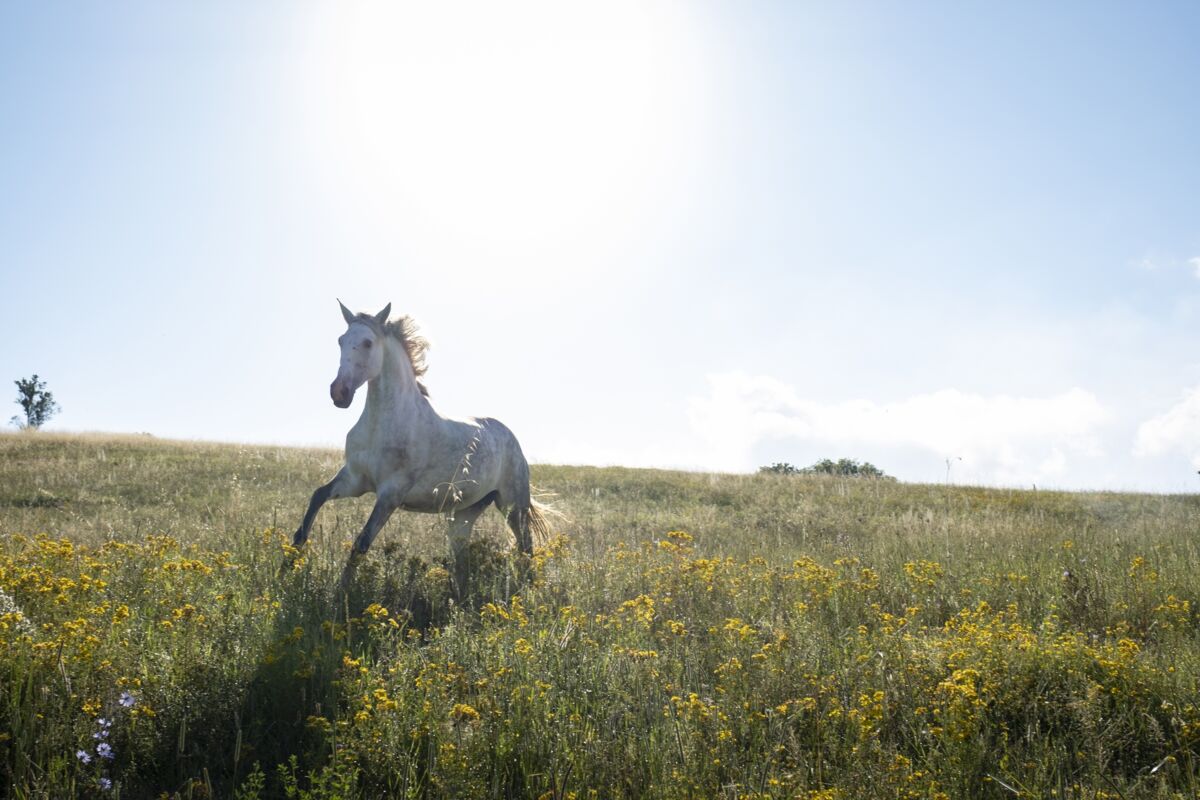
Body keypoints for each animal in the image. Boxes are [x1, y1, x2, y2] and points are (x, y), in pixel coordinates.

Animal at [293, 301, 553, 596]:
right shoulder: (354, 480)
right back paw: (460, 599)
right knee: (462, 559)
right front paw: (289, 563)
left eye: (368, 342)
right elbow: (317, 497)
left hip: (512, 505)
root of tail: (512, 440)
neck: (383, 423)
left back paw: (529, 591)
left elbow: (362, 542)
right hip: (464, 513)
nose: (339, 393)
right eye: (341, 340)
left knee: (526, 548)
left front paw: (340, 594)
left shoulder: (390, 493)